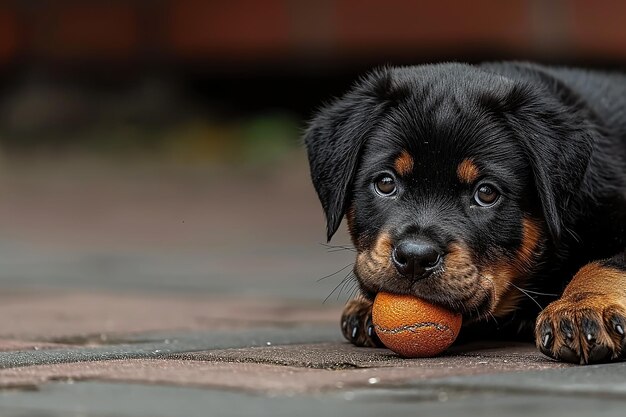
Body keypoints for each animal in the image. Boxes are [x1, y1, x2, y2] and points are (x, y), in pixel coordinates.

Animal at [304, 62, 624, 364]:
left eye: (486, 193)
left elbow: (607, 263)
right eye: (385, 183)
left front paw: (581, 307)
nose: (415, 258)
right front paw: (364, 306)